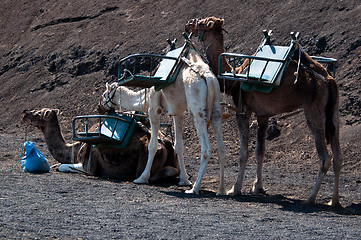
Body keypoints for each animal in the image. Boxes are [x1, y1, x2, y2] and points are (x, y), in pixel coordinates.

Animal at [19, 108, 180, 183]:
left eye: (38, 113)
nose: (25, 114)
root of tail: (166, 142)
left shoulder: (89, 166)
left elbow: (63, 166)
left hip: (144, 161)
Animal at [101, 45, 225, 195]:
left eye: (104, 94)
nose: (100, 106)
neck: (144, 97)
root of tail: (208, 77)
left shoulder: (154, 108)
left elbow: (152, 145)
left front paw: (142, 178)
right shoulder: (178, 112)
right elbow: (178, 145)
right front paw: (184, 180)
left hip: (198, 109)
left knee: (206, 148)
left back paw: (194, 189)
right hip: (216, 107)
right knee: (221, 147)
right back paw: (221, 190)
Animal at [184, 16, 342, 206]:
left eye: (202, 23)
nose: (188, 25)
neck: (233, 77)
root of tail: (328, 79)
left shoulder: (242, 111)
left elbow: (243, 153)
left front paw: (234, 189)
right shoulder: (263, 115)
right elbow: (260, 150)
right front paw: (257, 187)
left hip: (313, 111)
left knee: (325, 157)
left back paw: (310, 198)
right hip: (333, 113)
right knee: (338, 157)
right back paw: (334, 201)